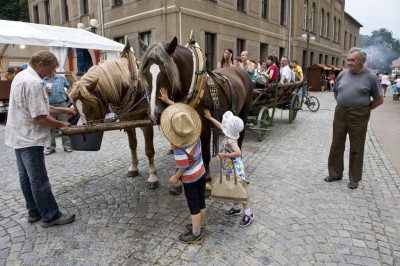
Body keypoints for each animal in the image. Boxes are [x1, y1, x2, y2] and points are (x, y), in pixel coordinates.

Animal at [68, 44, 160, 188]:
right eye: (76, 109)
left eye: (91, 107)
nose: (86, 133)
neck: (135, 89)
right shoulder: (128, 124)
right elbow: (132, 145)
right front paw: (133, 168)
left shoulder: (147, 125)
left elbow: (149, 150)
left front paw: (153, 176)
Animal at [139, 37, 253, 189]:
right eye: (145, 73)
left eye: (167, 73)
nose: (154, 115)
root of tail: (240, 71)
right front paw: (179, 179)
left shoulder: (204, 128)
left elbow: (205, 153)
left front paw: (207, 181)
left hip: (243, 114)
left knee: (240, 138)